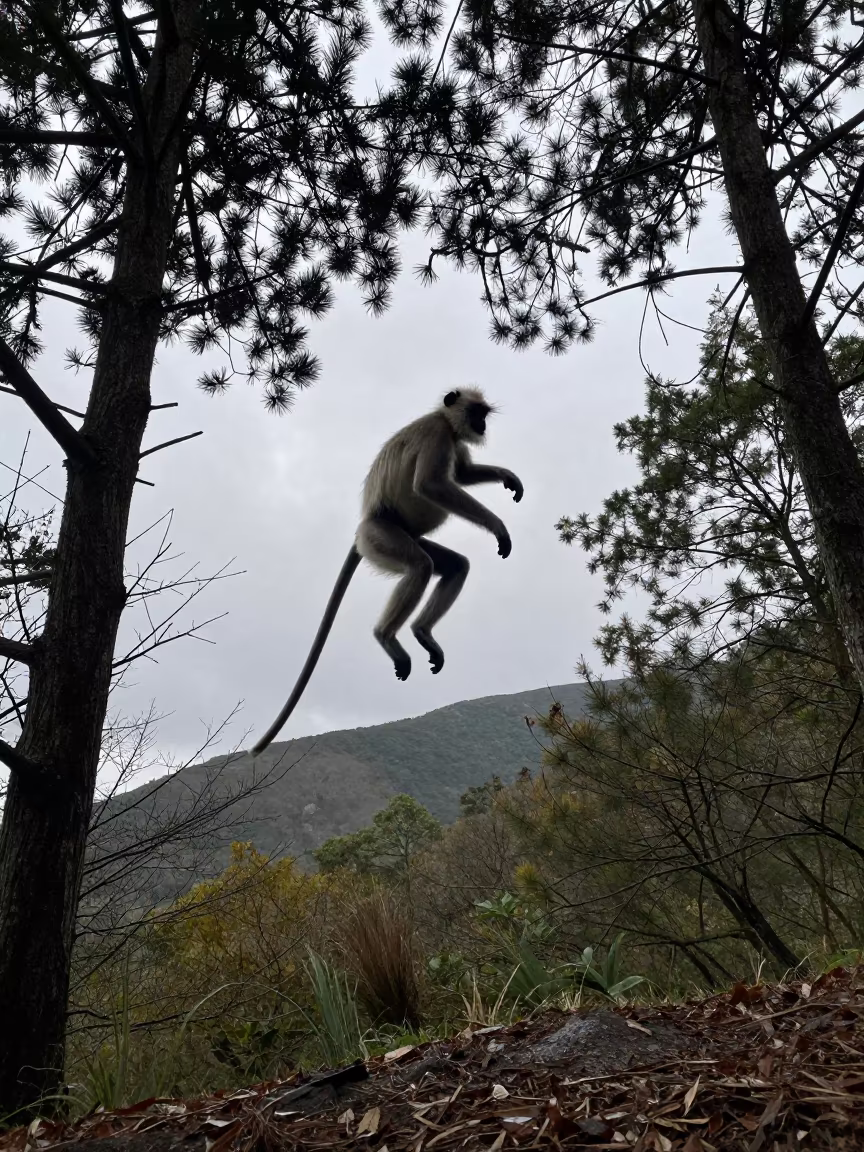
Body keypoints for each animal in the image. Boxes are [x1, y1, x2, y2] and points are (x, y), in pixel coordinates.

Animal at [252, 388, 523, 756]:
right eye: (476, 413)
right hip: (382, 537)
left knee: (454, 565)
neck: (445, 420)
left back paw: (422, 632)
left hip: (402, 538)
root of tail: (361, 531)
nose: (481, 425)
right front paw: (497, 526)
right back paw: (387, 636)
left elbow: (463, 474)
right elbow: (433, 485)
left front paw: (508, 478)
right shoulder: (437, 433)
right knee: (420, 566)